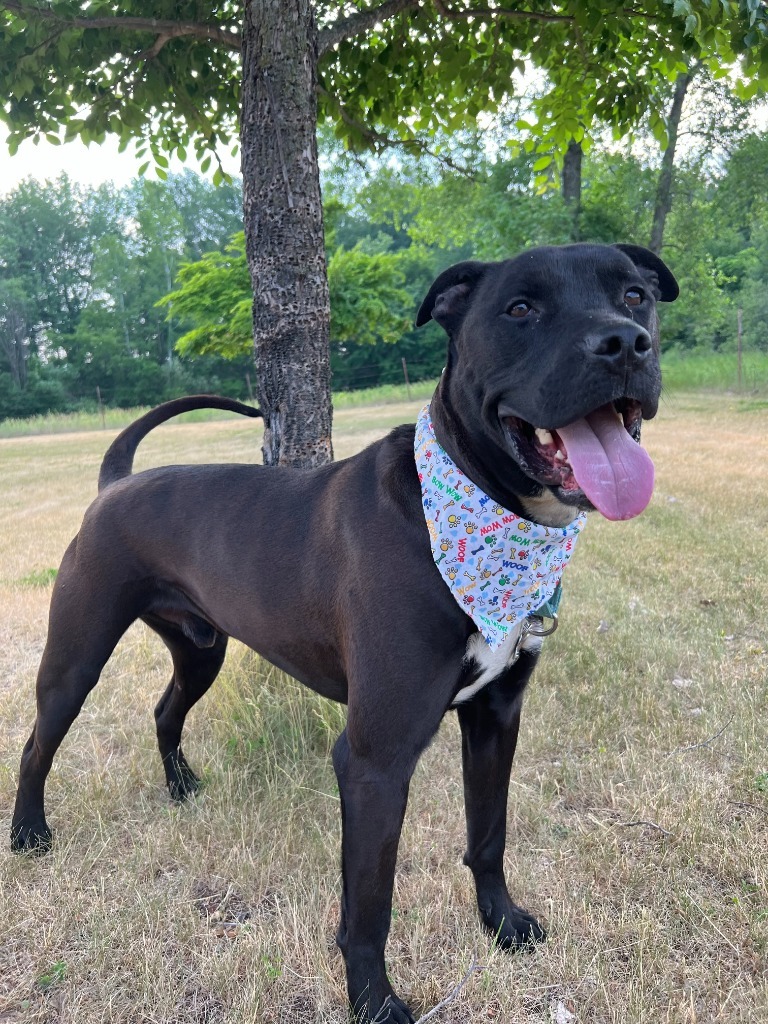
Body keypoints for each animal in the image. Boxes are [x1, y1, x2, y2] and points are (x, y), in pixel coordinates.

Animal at [12, 243, 679, 1019]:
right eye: (520, 308)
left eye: (634, 295)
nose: (624, 344)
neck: (467, 512)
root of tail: (115, 483)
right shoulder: (374, 757)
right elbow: (369, 904)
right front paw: (374, 1001)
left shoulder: (496, 716)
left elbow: (489, 833)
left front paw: (502, 923)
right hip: (77, 654)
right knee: (37, 742)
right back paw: (29, 834)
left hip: (201, 648)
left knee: (165, 709)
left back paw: (180, 788)